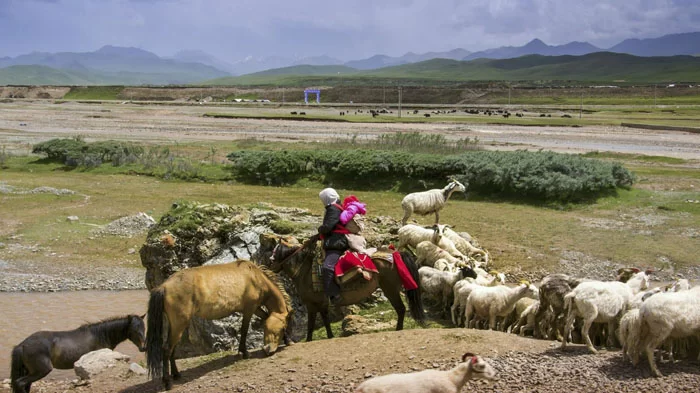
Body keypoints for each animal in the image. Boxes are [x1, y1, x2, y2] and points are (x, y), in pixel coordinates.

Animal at [10, 314, 146, 392]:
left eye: (144, 328)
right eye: (134, 329)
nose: (143, 347)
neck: (100, 335)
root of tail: (22, 345)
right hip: (41, 370)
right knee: (20, 383)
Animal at [146, 258, 292, 390]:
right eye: (282, 328)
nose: (268, 350)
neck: (255, 277)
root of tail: (164, 287)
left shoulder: (255, 308)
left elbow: (264, 317)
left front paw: (288, 340)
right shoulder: (250, 309)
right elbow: (244, 330)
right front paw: (245, 353)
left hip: (177, 325)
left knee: (172, 348)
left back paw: (176, 374)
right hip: (179, 324)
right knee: (167, 349)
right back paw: (167, 382)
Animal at [270, 234, 426, 342]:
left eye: (274, 253)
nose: (271, 266)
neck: (304, 270)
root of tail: (395, 253)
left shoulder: (312, 303)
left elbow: (311, 323)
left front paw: (309, 340)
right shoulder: (321, 303)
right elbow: (325, 321)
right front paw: (330, 336)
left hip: (390, 289)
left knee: (400, 309)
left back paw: (398, 329)